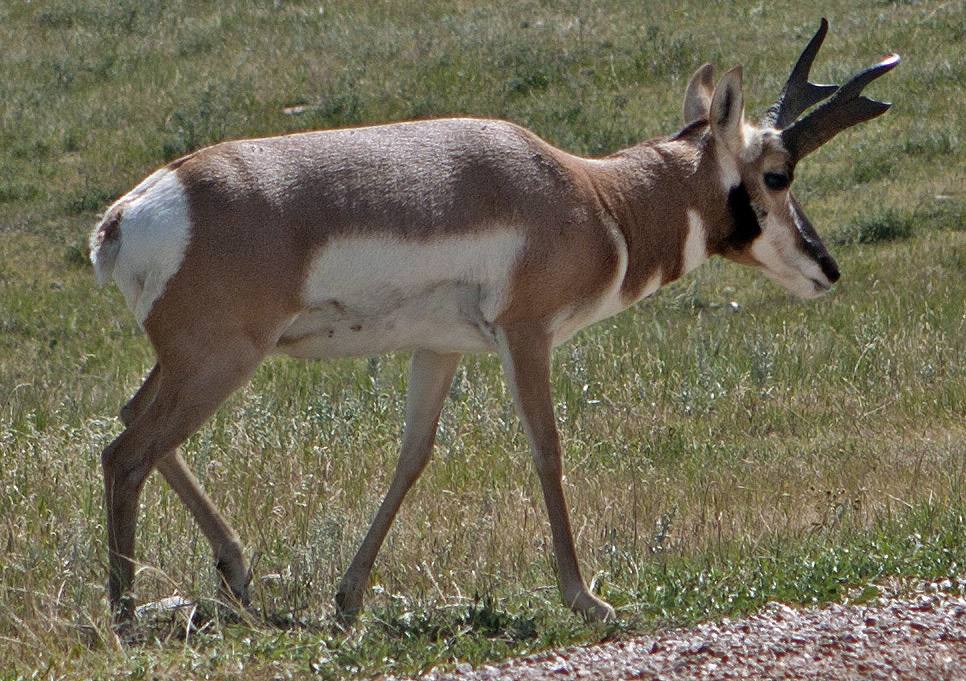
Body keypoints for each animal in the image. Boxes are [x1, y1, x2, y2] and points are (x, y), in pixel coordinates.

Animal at [91, 19, 900, 620]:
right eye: (778, 174)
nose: (826, 268)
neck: (592, 195)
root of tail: (128, 214)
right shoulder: (526, 334)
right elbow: (547, 448)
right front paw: (588, 598)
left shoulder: (438, 350)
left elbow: (412, 456)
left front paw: (350, 597)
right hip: (223, 360)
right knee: (126, 450)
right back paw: (126, 613)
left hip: (192, 363)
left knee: (135, 424)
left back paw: (234, 574)